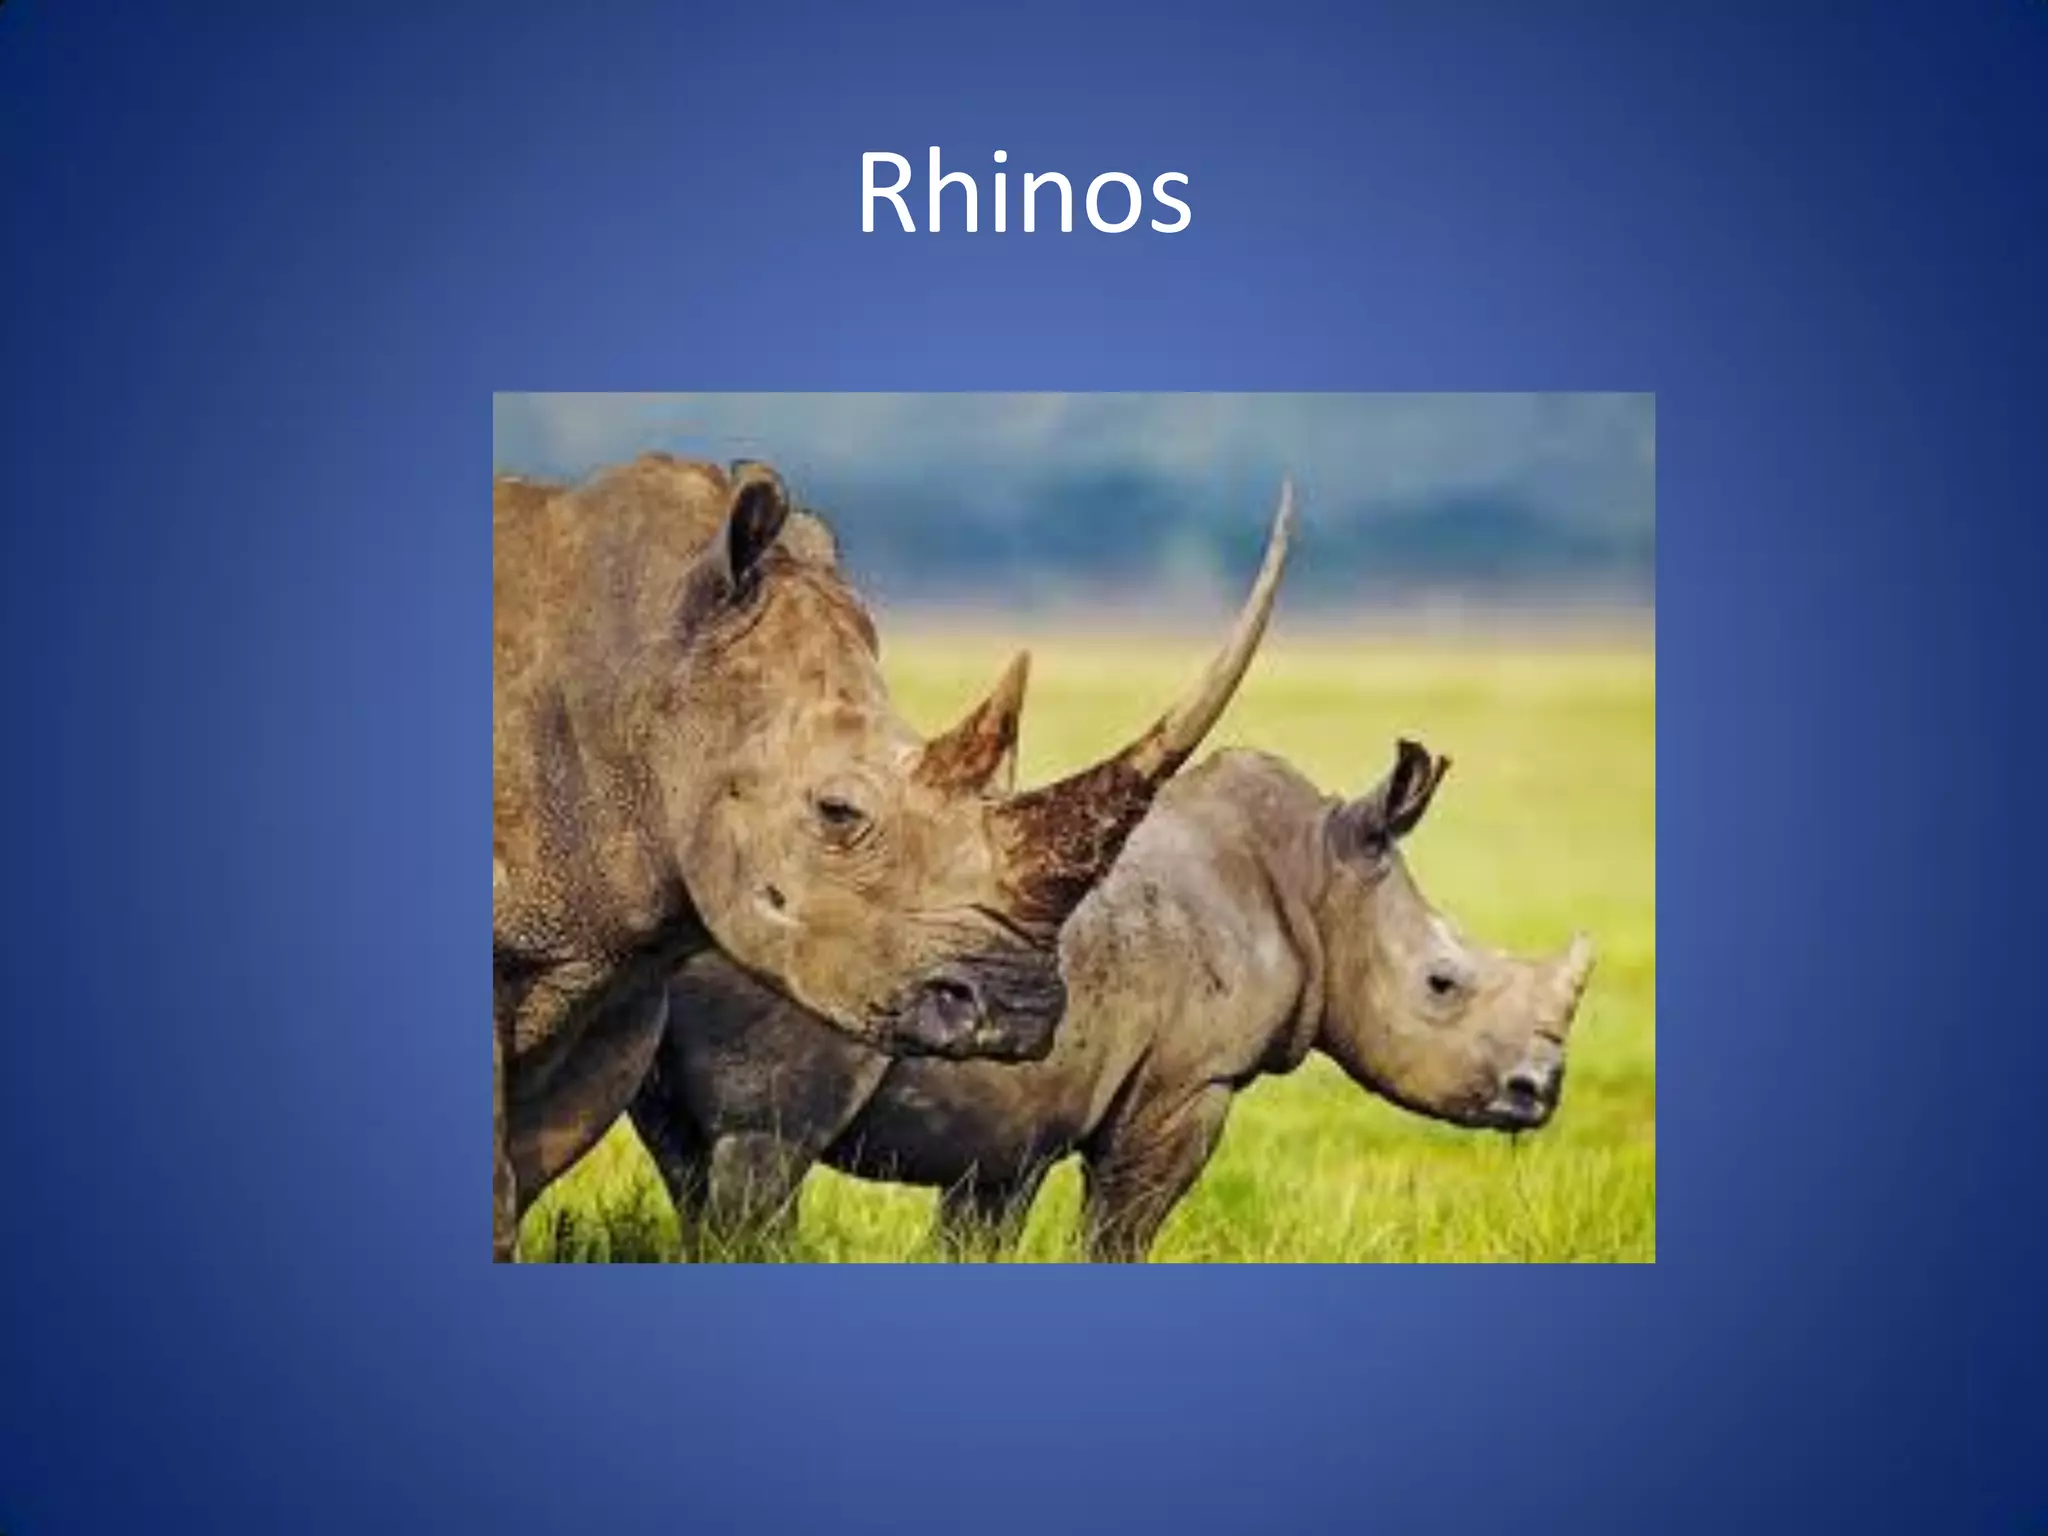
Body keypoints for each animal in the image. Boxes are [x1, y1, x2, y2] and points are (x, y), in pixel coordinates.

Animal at [629, 739, 1597, 1261]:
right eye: (1443, 984)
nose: (1538, 1092)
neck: (1317, 880)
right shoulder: (1189, 1082)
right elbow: (1121, 1230)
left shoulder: (1014, 1119)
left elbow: (977, 1231)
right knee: (765, 1146)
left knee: (685, 1154)